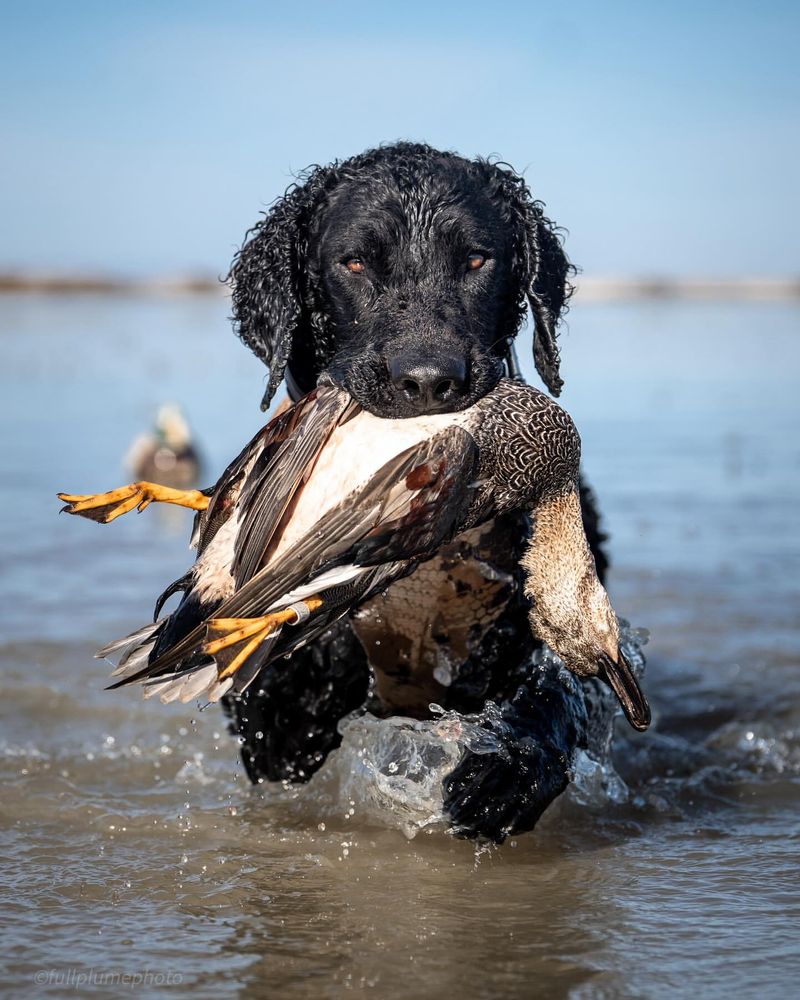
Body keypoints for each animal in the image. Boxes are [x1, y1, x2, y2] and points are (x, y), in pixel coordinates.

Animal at [222, 143, 604, 844]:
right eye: (354, 262)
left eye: (477, 259)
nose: (429, 381)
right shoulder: (276, 715)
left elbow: (554, 687)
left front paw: (504, 773)